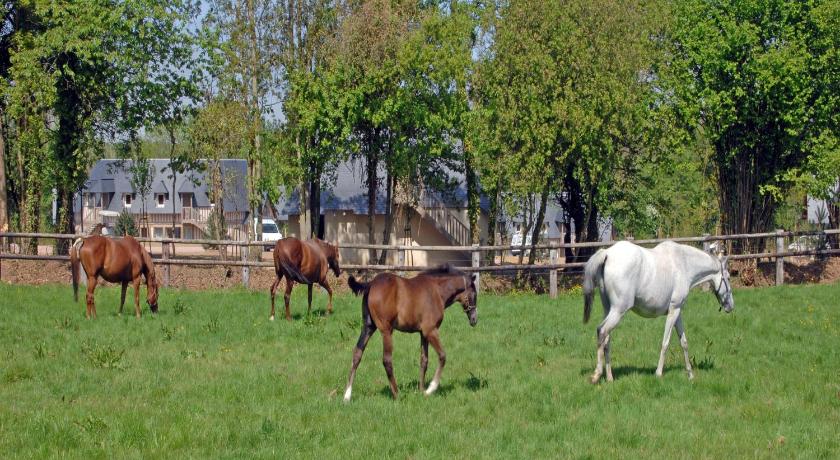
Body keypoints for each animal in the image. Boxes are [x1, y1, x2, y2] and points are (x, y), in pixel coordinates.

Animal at [342, 264, 476, 400]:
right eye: (474, 294)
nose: (474, 319)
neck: (436, 291)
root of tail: (371, 283)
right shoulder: (430, 330)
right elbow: (442, 356)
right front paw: (430, 389)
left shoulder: (423, 333)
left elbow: (424, 360)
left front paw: (421, 391)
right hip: (386, 330)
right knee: (387, 360)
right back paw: (396, 394)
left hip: (368, 327)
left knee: (357, 354)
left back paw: (347, 395)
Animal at [580, 241, 732, 384]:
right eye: (729, 277)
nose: (731, 306)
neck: (684, 264)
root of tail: (607, 253)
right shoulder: (673, 311)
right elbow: (665, 342)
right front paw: (658, 373)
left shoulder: (677, 312)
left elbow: (683, 342)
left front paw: (690, 375)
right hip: (619, 311)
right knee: (601, 331)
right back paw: (596, 375)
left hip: (609, 310)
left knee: (607, 340)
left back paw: (610, 378)